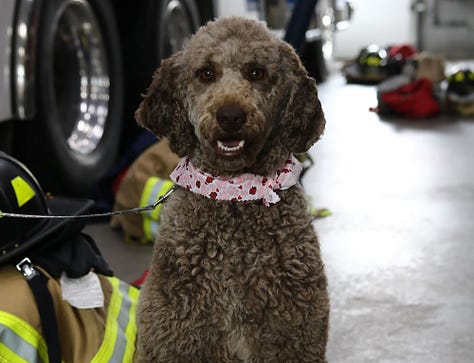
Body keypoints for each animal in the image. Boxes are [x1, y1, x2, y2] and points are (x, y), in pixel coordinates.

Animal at [134, 16, 330, 363]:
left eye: (256, 72)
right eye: (206, 73)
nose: (230, 115)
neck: (234, 193)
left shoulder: (296, 338)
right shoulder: (172, 341)